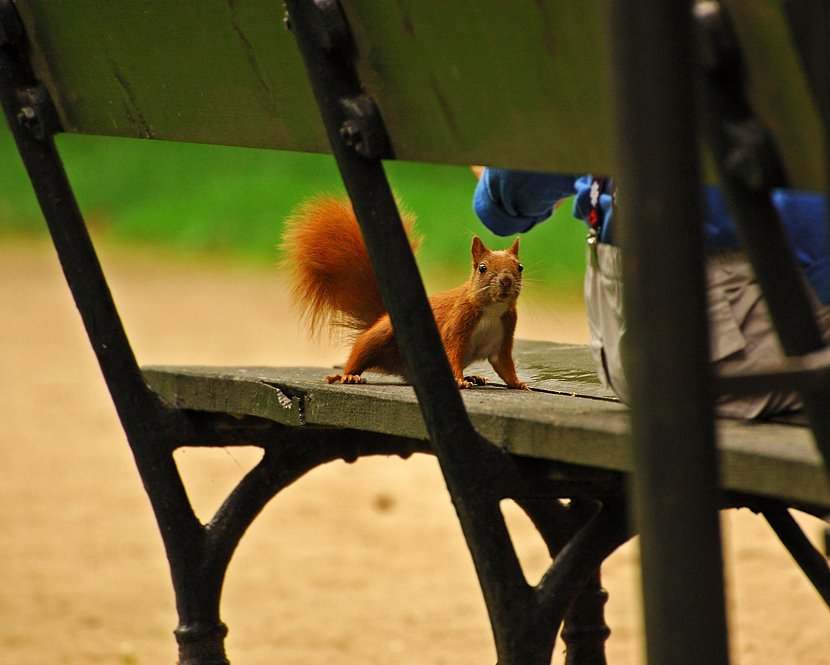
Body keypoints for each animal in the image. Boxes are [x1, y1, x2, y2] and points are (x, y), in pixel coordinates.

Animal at [282, 195, 528, 390]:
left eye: (520, 267)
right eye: (482, 268)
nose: (506, 281)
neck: (492, 309)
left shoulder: (505, 333)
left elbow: (504, 364)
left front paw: (518, 384)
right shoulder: (459, 321)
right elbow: (452, 351)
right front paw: (459, 380)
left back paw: (475, 377)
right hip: (380, 336)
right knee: (360, 350)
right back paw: (348, 375)